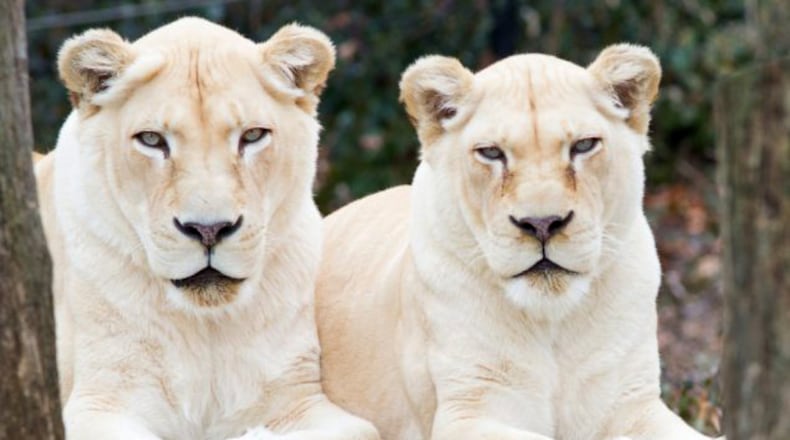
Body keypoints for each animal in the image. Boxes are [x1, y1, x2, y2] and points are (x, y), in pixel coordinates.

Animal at [35, 17, 379, 440]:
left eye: (252, 135)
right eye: (152, 139)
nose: (209, 230)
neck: (207, 329)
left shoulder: (299, 399)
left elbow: (361, 429)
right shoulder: (97, 402)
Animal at [316, 45, 721, 440]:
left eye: (584, 146)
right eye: (492, 152)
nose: (541, 224)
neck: (553, 323)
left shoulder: (632, 403)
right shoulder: (469, 410)